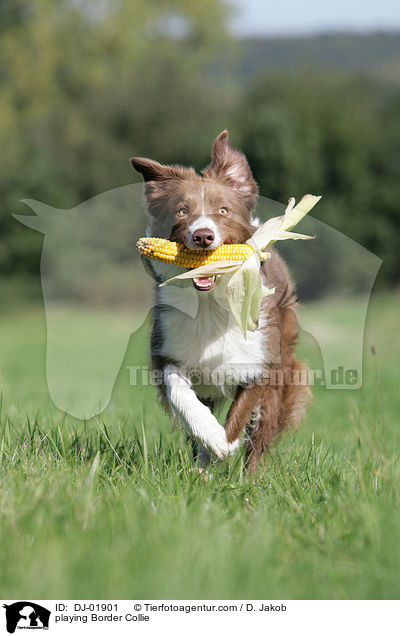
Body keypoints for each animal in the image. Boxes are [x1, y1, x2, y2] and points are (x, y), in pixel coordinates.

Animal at [131, 130, 312, 468]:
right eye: (182, 210)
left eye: (223, 211)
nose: (202, 236)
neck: (209, 305)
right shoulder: (167, 351)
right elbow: (181, 394)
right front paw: (211, 438)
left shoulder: (258, 362)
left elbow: (240, 416)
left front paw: (224, 444)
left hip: (283, 367)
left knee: (262, 435)